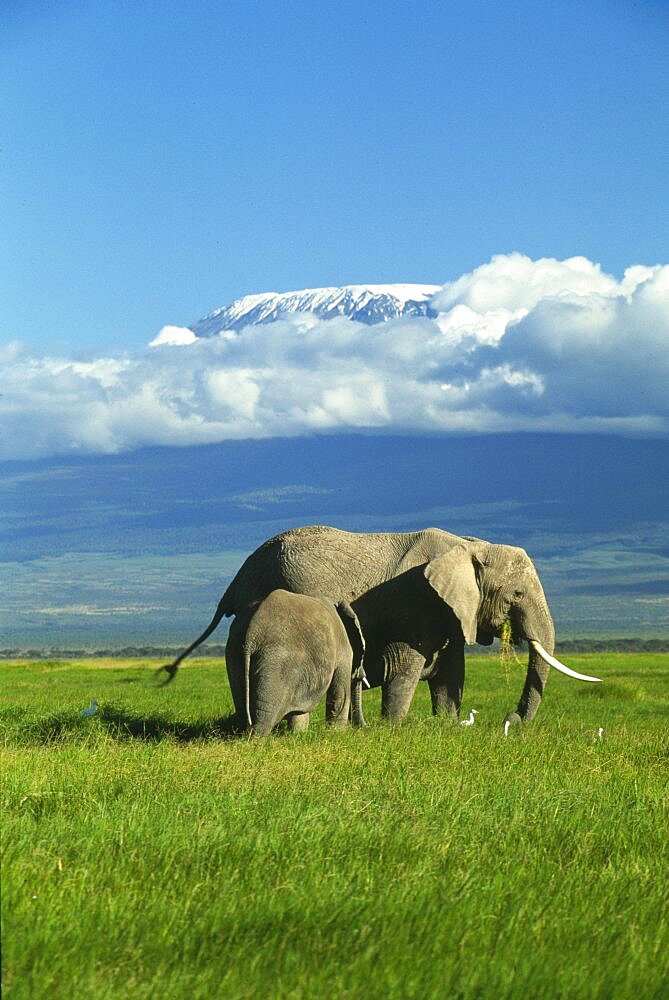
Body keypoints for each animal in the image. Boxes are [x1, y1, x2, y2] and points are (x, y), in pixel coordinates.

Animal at [224, 584, 362, 736]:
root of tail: (251, 635)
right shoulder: (343, 648)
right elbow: (340, 693)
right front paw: (336, 733)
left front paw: (298, 735)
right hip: (276, 661)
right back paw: (257, 738)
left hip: (234, 652)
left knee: (242, 707)